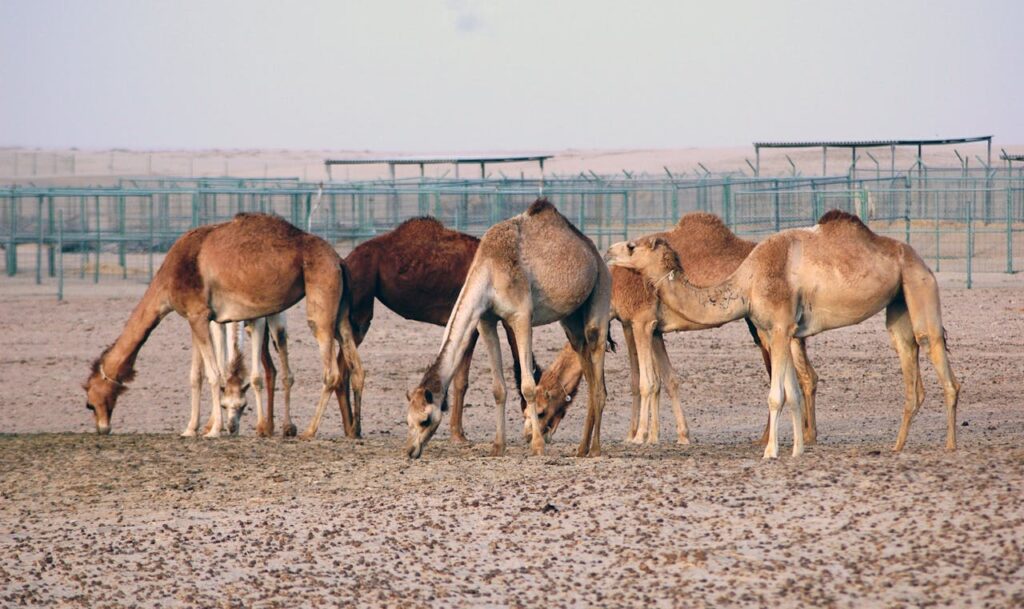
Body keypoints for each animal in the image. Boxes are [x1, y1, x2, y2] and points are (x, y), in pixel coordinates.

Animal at [83, 213, 363, 437]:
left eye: (90, 401)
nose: (102, 428)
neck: (167, 279)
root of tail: (338, 260)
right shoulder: (196, 317)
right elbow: (196, 375)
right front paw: (190, 429)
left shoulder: (198, 314)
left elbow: (213, 374)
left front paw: (214, 431)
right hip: (340, 312)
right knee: (356, 367)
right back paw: (354, 430)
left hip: (320, 299)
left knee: (330, 372)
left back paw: (308, 431)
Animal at [317, 216, 540, 440]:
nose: (534, 433)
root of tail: (345, 262)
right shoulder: (472, 322)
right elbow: (461, 381)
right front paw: (458, 435)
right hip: (360, 309)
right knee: (346, 365)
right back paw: (353, 430)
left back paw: (350, 428)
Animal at [406, 199, 611, 459]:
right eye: (408, 420)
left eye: (425, 419)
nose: (410, 450)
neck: (490, 270)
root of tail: (594, 252)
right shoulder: (486, 320)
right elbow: (498, 388)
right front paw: (498, 446)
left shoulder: (521, 317)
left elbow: (528, 386)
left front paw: (537, 445)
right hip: (572, 320)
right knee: (585, 361)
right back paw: (582, 448)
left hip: (601, 291)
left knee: (597, 364)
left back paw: (595, 449)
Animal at [532, 213, 818, 446]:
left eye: (540, 410)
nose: (531, 435)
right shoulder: (647, 328)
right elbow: (661, 380)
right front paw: (669, 435)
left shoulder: (640, 321)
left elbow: (646, 381)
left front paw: (639, 436)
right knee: (805, 374)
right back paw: (805, 434)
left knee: (788, 374)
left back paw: (775, 438)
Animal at [606, 209, 960, 459]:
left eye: (632, 246)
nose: (609, 251)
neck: (746, 281)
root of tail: (918, 258)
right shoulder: (780, 329)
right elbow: (791, 393)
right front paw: (797, 449)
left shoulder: (777, 328)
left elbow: (777, 394)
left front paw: (771, 451)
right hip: (898, 302)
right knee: (906, 353)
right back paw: (897, 445)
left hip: (920, 284)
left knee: (935, 352)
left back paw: (950, 444)